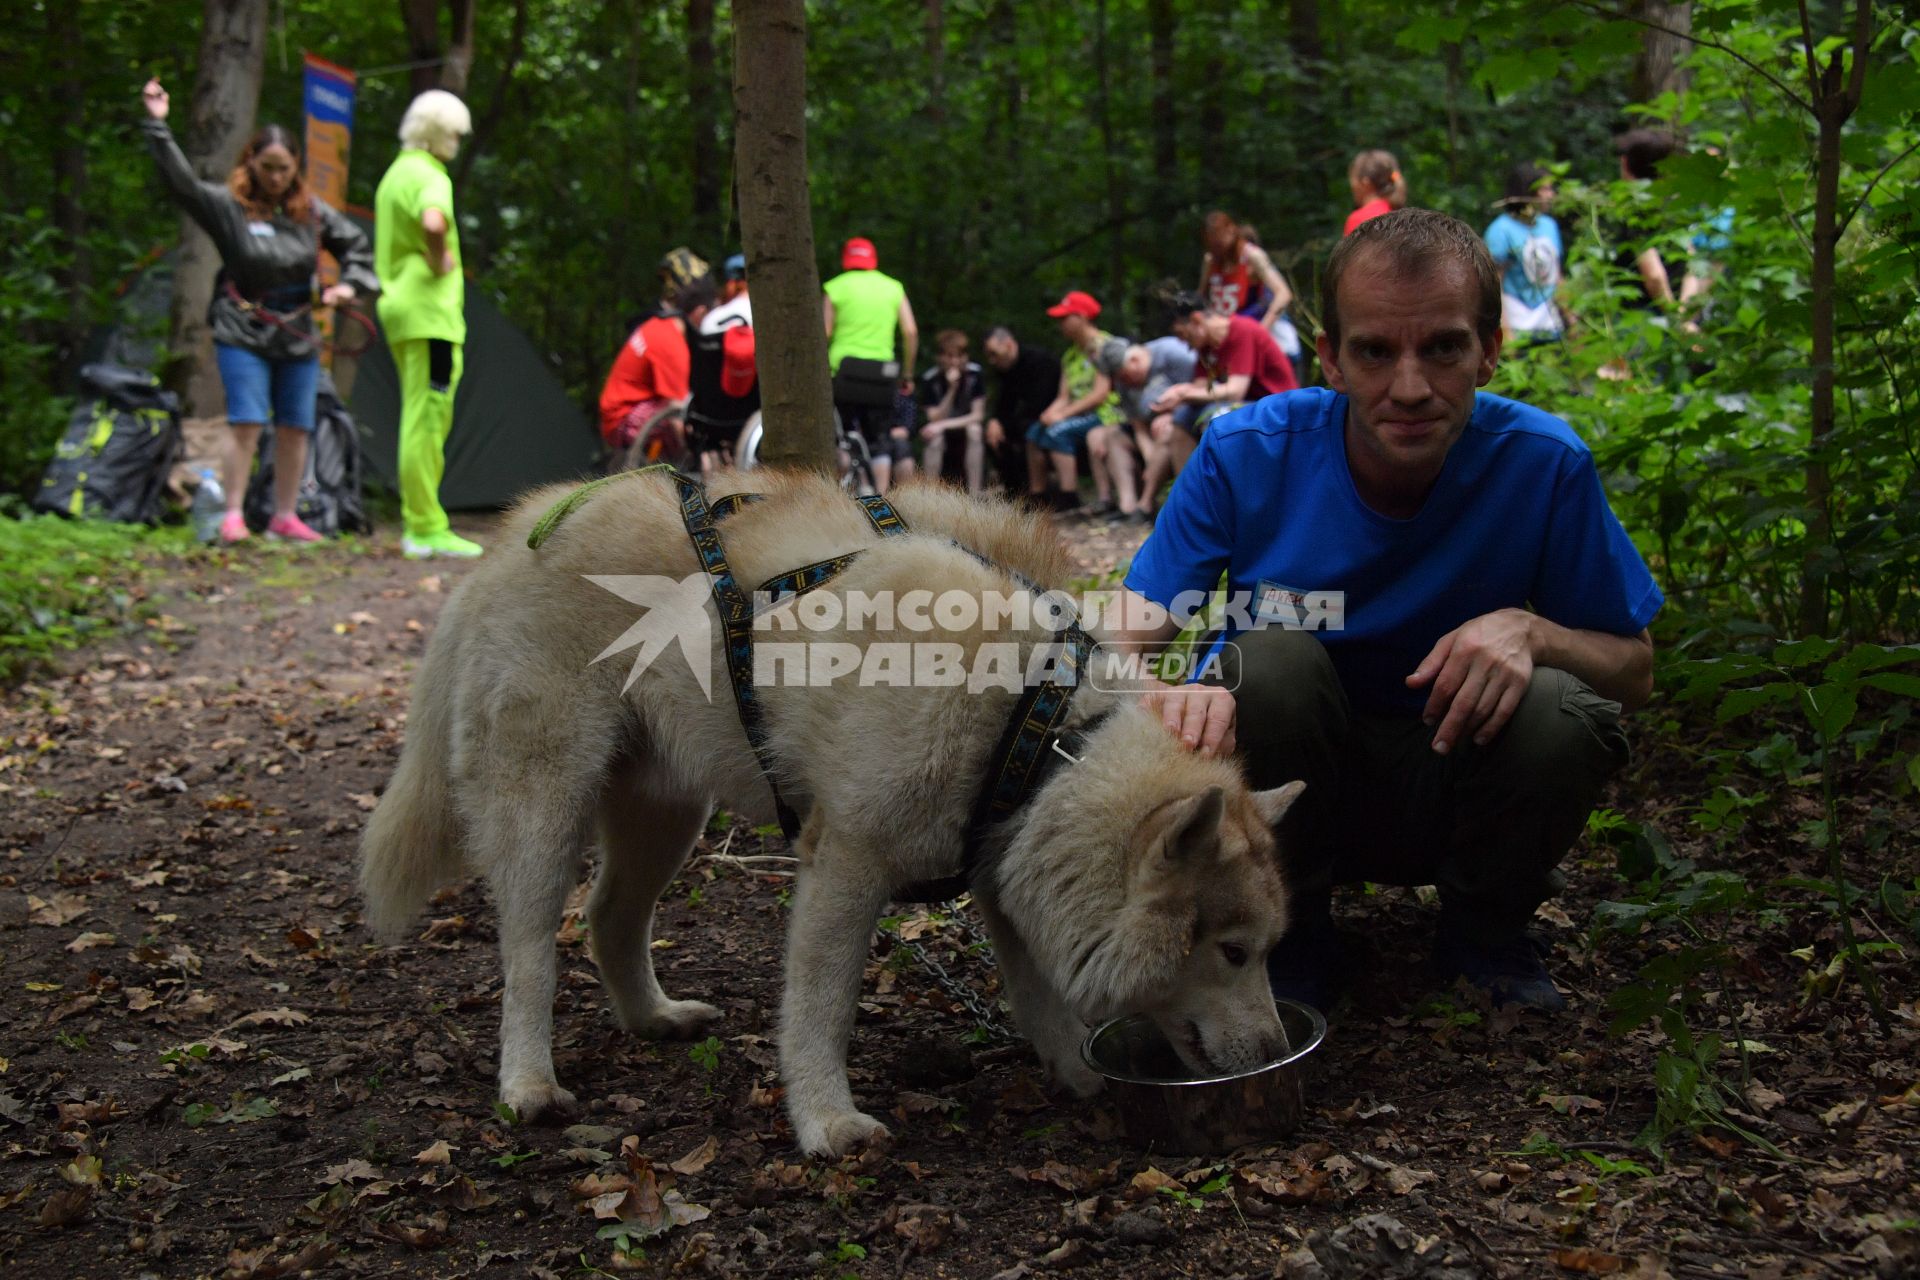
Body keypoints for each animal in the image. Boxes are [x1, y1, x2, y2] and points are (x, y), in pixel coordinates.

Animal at [357, 470, 1305, 1159]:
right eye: (1233, 953)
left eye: (1267, 951)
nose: (1273, 1054)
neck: (1034, 726)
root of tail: (517, 532)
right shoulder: (846, 862)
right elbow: (822, 1010)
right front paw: (825, 1122)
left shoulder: (1004, 859)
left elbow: (1036, 991)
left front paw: (1077, 1072)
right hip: (546, 809)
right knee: (529, 955)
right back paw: (528, 1084)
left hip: (670, 813)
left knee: (607, 917)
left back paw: (653, 1018)